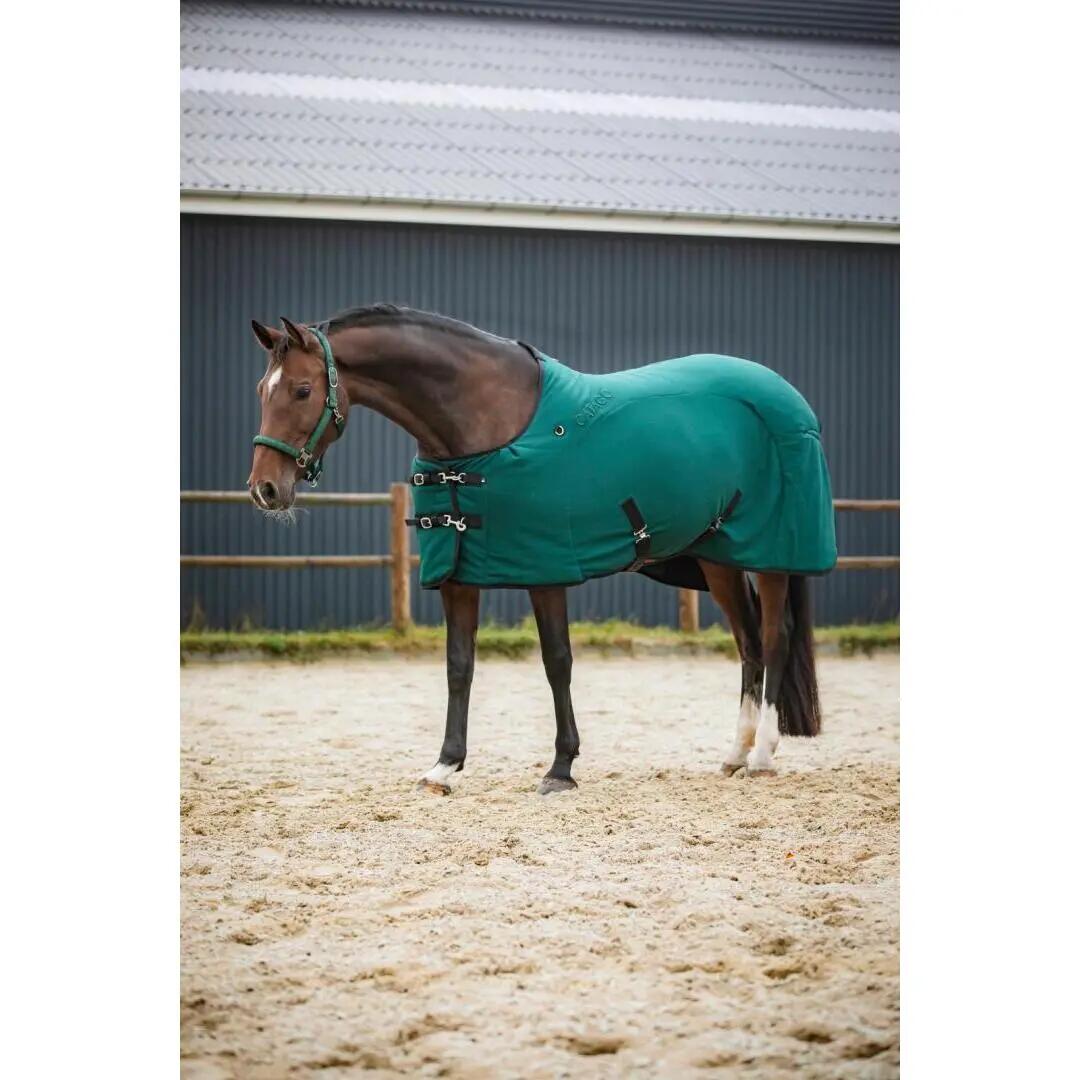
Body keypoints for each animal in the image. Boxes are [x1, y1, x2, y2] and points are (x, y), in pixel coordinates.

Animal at [247, 305, 835, 794]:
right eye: (261, 390)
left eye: (302, 390)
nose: (265, 490)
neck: (482, 424)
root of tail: (787, 397)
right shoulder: (458, 575)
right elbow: (459, 665)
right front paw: (444, 766)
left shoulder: (547, 567)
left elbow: (557, 662)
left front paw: (561, 768)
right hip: (718, 558)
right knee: (748, 644)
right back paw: (735, 753)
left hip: (774, 553)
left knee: (774, 639)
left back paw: (762, 756)